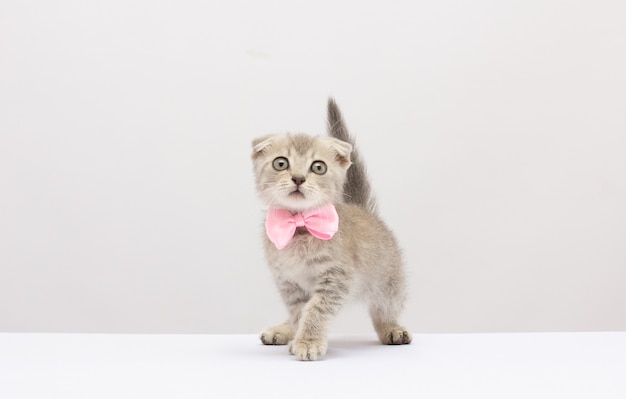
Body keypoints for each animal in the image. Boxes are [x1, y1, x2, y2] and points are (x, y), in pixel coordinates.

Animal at [249, 98, 410, 360]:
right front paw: (299, 337)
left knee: (383, 310)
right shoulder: (289, 283)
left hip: (388, 282)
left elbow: (315, 309)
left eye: (318, 167)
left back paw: (392, 329)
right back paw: (282, 331)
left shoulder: (336, 279)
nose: (298, 178)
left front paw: (308, 341)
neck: (300, 226)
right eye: (280, 163)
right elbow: (299, 312)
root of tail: (361, 208)